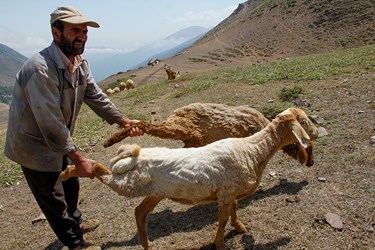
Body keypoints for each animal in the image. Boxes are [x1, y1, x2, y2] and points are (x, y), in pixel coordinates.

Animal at [103, 102, 318, 167]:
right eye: (309, 146)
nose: (311, 163)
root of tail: (178, 111)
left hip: (189, 138)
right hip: (179, 128)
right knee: (145, 124)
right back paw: (109, 141)